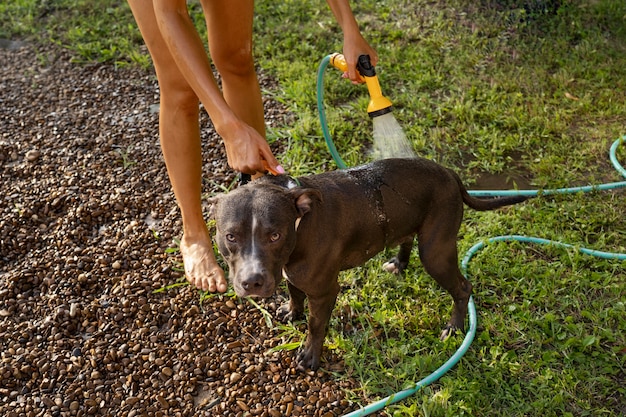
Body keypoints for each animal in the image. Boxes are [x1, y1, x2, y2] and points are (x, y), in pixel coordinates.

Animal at [207, 158, 524, 368]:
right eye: (231, 236)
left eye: (275, 235)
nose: (252, 282)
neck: (299, 220)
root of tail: (449, 174)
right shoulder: (290, 273)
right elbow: (295, 293)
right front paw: (291, 311)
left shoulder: (324, 292)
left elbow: (315, 325)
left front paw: (309, 355)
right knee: (407, 240)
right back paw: (398, 264)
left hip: (436, 252)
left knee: (462, 287)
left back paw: (454, 327)